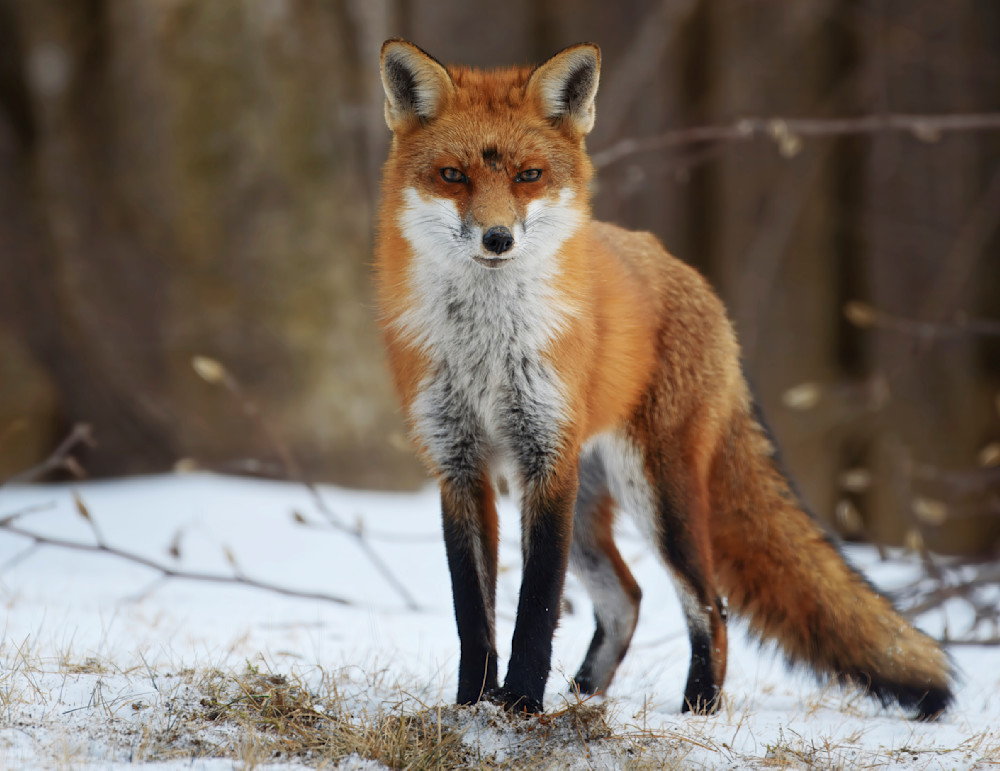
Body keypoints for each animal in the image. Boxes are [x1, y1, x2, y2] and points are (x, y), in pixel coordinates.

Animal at [373, 38, 954, 720]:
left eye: (528, 176)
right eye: (453, 176)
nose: (498, 238)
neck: (486, 347)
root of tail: (693, 277)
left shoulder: (547, 459)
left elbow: (536, 609)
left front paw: (518, 707)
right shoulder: (459, 464)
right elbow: (474, 614)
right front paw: (473, 706)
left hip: (654, 491)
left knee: (710, 604)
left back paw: (696, 709)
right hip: (585, 500)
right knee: (627, 599)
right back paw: (585, 696)